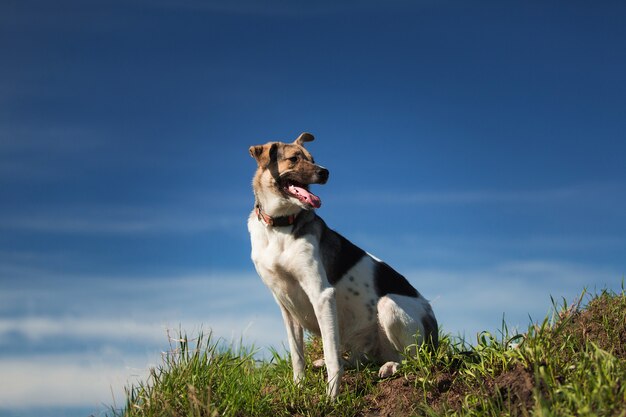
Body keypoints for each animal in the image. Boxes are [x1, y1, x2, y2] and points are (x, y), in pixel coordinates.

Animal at [246, 132, 436, 396]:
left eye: (313, 158)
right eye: (294, 159)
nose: (325, 172)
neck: (280, 227)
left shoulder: (321, 294)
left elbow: (331, 355)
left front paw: (332, 395)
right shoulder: (285, 305)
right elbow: (297, 356)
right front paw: (298, 387)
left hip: (389, 306)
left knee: (414, 360)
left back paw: (390, 367)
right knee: (360, 359)